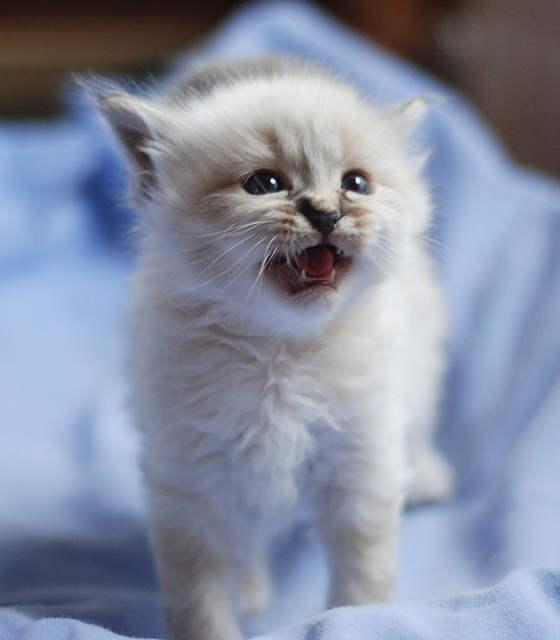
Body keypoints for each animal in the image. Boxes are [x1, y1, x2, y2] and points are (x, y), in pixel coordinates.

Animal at [95, 58, 450, 640]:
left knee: (418, 422)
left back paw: (426, 476)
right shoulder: (193, 487)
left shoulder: (362, 463)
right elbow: (199, 598)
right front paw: (226, 613)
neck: (281, 353)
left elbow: (364, 572)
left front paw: (364, 620)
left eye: (357, 183)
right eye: (265, 184)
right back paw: (251, 587)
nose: (326, 213)